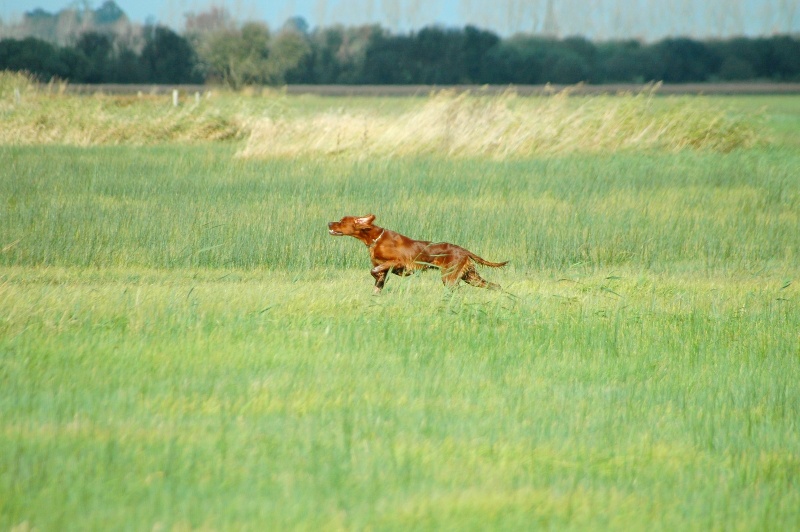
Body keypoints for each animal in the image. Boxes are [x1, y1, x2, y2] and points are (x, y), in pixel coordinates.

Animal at [326, 214, 506, 294]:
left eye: (342, 221)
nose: (329, 223)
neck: (376, 239)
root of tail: (463, 250)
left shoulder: (398, 262)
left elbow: (374, 270)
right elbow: (377, 284)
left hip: (450, 277)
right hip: (470, 276)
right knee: (494, 285)